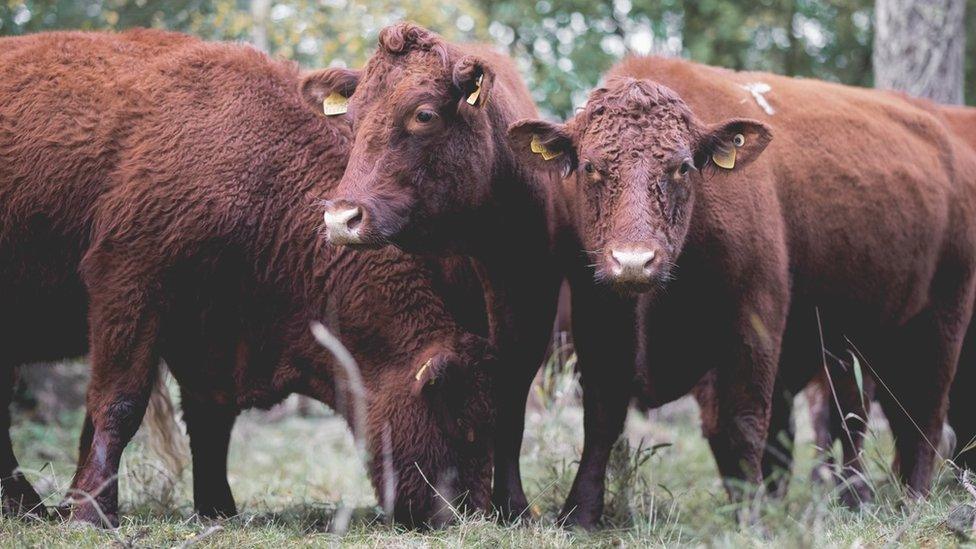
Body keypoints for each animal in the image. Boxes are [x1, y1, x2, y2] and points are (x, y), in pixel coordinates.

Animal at [1, 30, 496, 528]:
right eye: (456, 416)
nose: (472, 511)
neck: (264, 169)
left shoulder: (210, 328)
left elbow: (210, 419)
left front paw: (217, 508)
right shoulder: (128, 283)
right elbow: (118, 402)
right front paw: (91, 512)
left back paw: (27, 506)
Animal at [316, 22, 572, 520]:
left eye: (424, 115)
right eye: (350, 120)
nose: (341, 219)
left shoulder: (532, 312)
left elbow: (511, 402)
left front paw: (512, 504)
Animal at [508, 57, 976, 524]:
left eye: (682, 167)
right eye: (590, 166)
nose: (634, 260)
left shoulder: (755, 325)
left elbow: (745, 423)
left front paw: (752, 517)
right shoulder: (597, 321)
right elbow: (604, 417)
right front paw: (580, 514)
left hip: (941, 321)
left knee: (925, 414)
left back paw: (911, 501)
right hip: (858, 343)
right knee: (862, 417)